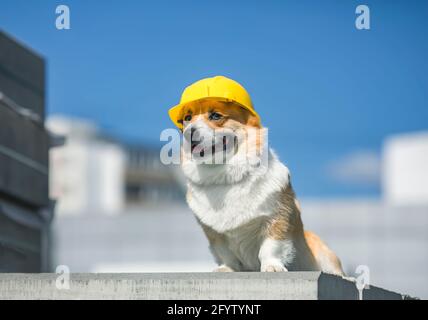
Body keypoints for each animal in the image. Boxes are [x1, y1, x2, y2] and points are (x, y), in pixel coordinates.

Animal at [171, 76, 344, 274]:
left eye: (215, 116)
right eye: (187, 119)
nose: (189, 132)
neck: (225, 175)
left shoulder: (277, 218)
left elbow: (270, 247)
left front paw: (272, 266)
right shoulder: (214, 234)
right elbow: (225, 253)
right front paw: (226, 268)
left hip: (323, 253)